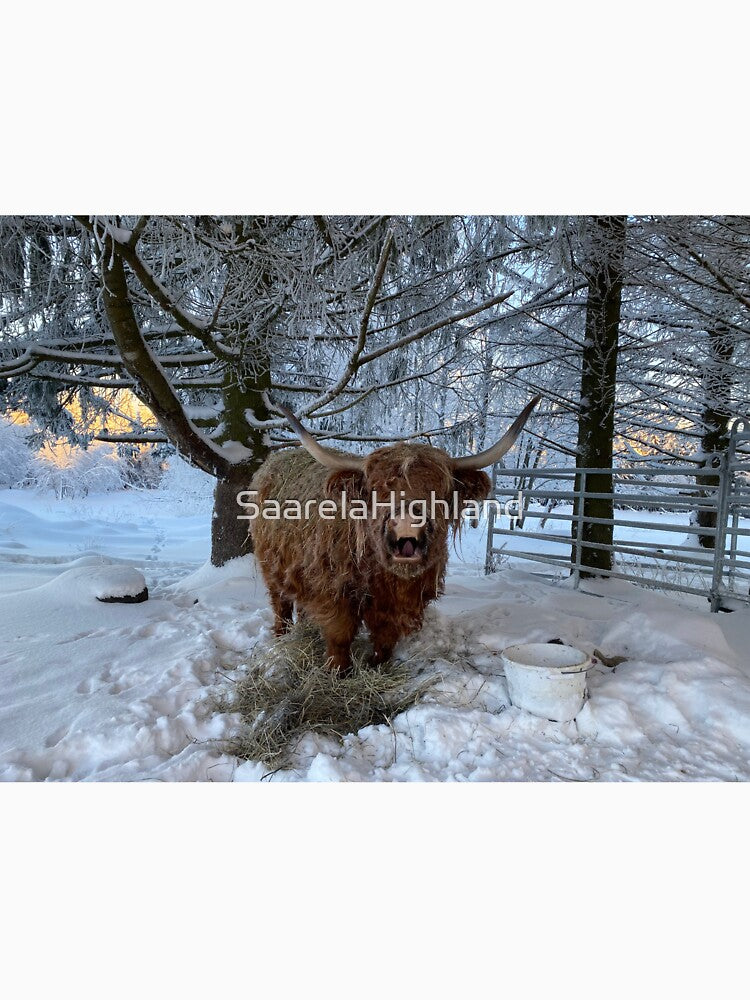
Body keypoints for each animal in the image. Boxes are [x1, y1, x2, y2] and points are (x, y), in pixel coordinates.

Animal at [249, 397, 540, 672]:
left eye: (441, 490)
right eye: (376, 490)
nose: (407, 520)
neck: (387, 578)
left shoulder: (396, 607)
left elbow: (385, 641)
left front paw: (377, 666)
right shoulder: (335, 595)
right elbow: (340, 638)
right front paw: (337, 672)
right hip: (272, 569)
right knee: (281, 605)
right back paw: (281, 638)